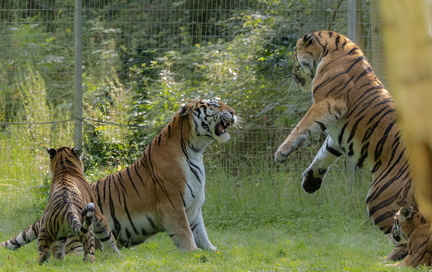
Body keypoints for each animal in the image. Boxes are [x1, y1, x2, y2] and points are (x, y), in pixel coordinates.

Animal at [1, 99, 236, 253]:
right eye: (215, 105)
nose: (233, 112)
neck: (195, 149)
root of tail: (46, 212)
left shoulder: (194, 207)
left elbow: (201, 233)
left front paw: (213, 251)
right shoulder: (173, 205)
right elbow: (185, 233)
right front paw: (193, 253)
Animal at [274, 30, 416, 260]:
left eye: (294, 55)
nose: (292, 74)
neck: (329, 50)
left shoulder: (327, 102)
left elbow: (301, 126)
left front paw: (281, 152)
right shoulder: (335, 134)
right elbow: (323, 155)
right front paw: (310, 182)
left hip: (380, 200)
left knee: (404, 238)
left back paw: (384, 260)